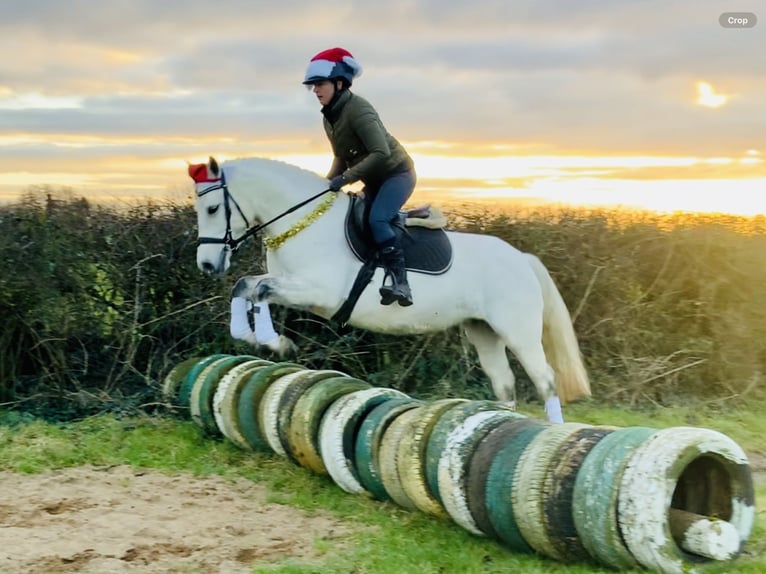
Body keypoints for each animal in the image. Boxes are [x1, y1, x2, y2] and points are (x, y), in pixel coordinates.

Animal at [189, 156, 592, 424]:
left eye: (212, 208)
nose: (207, 265)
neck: (304, 223)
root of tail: (522, 259)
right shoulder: (290, 285)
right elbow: (248, 286)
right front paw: (254, 337)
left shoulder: (320, 293)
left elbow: (258, 290)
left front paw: (276, 342)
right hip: (483, 331)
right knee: (505, 385)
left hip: (517, 330)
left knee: (545, 381)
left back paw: (553, 436)